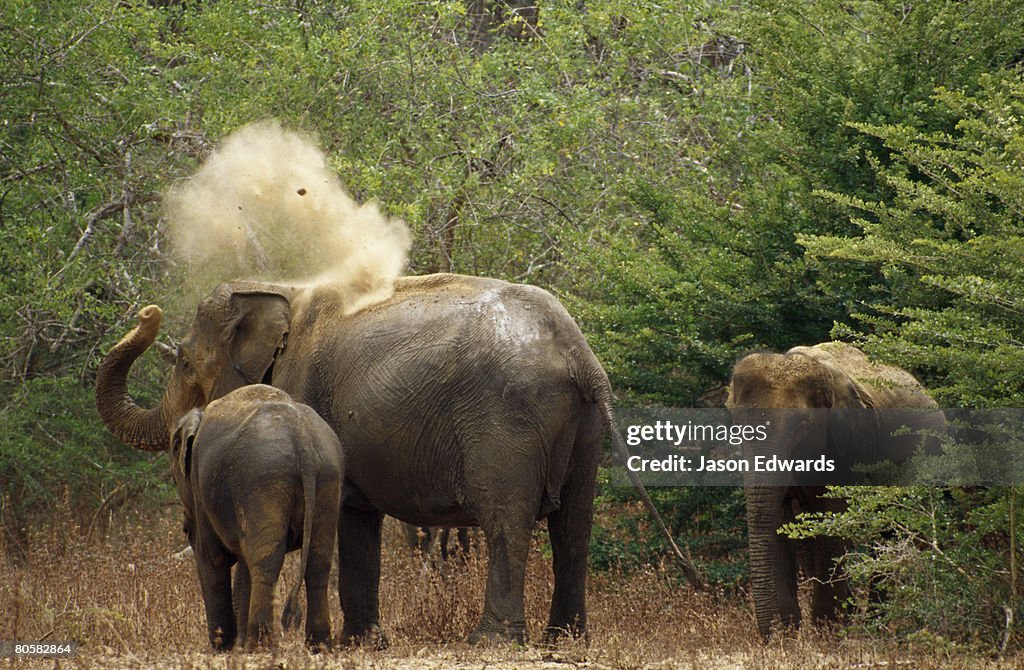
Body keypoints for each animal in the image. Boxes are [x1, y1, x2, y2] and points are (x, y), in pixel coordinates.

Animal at [168, 385, 344, 655]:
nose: (185, 527)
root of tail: (302, 439)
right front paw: (232, 645)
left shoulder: (200, 489)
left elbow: (212, 557)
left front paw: (223, 647)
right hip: (328, 478)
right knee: (318, 561)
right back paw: (318, 645)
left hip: (263, 480)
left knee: (265, 562)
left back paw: (257, 646)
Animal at [724, 344, 946, 643]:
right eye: (736, 423)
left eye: (803, 424)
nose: (768, 638)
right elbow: (779, 519)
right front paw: (791, 634)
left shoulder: (851, 444)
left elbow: (833, 517)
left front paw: (828, 628)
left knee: (887, 532)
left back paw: (874, 624)